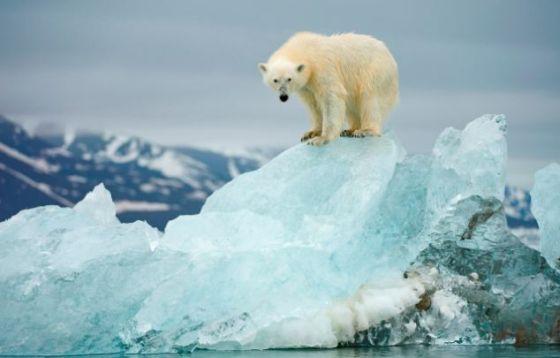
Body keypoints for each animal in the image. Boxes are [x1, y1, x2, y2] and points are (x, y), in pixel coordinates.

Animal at [260, 32, 400, 146]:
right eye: (275, 80)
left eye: (289, 79)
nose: (283, 96)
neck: (304, 49)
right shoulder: (306, 86)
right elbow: (313, 105)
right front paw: (311, 133)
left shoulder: (322, 68)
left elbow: (331, 98)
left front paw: (322, 138)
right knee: (352, 105)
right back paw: (349, 130)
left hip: (376, 72)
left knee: (369, 99)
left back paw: (365, 130)